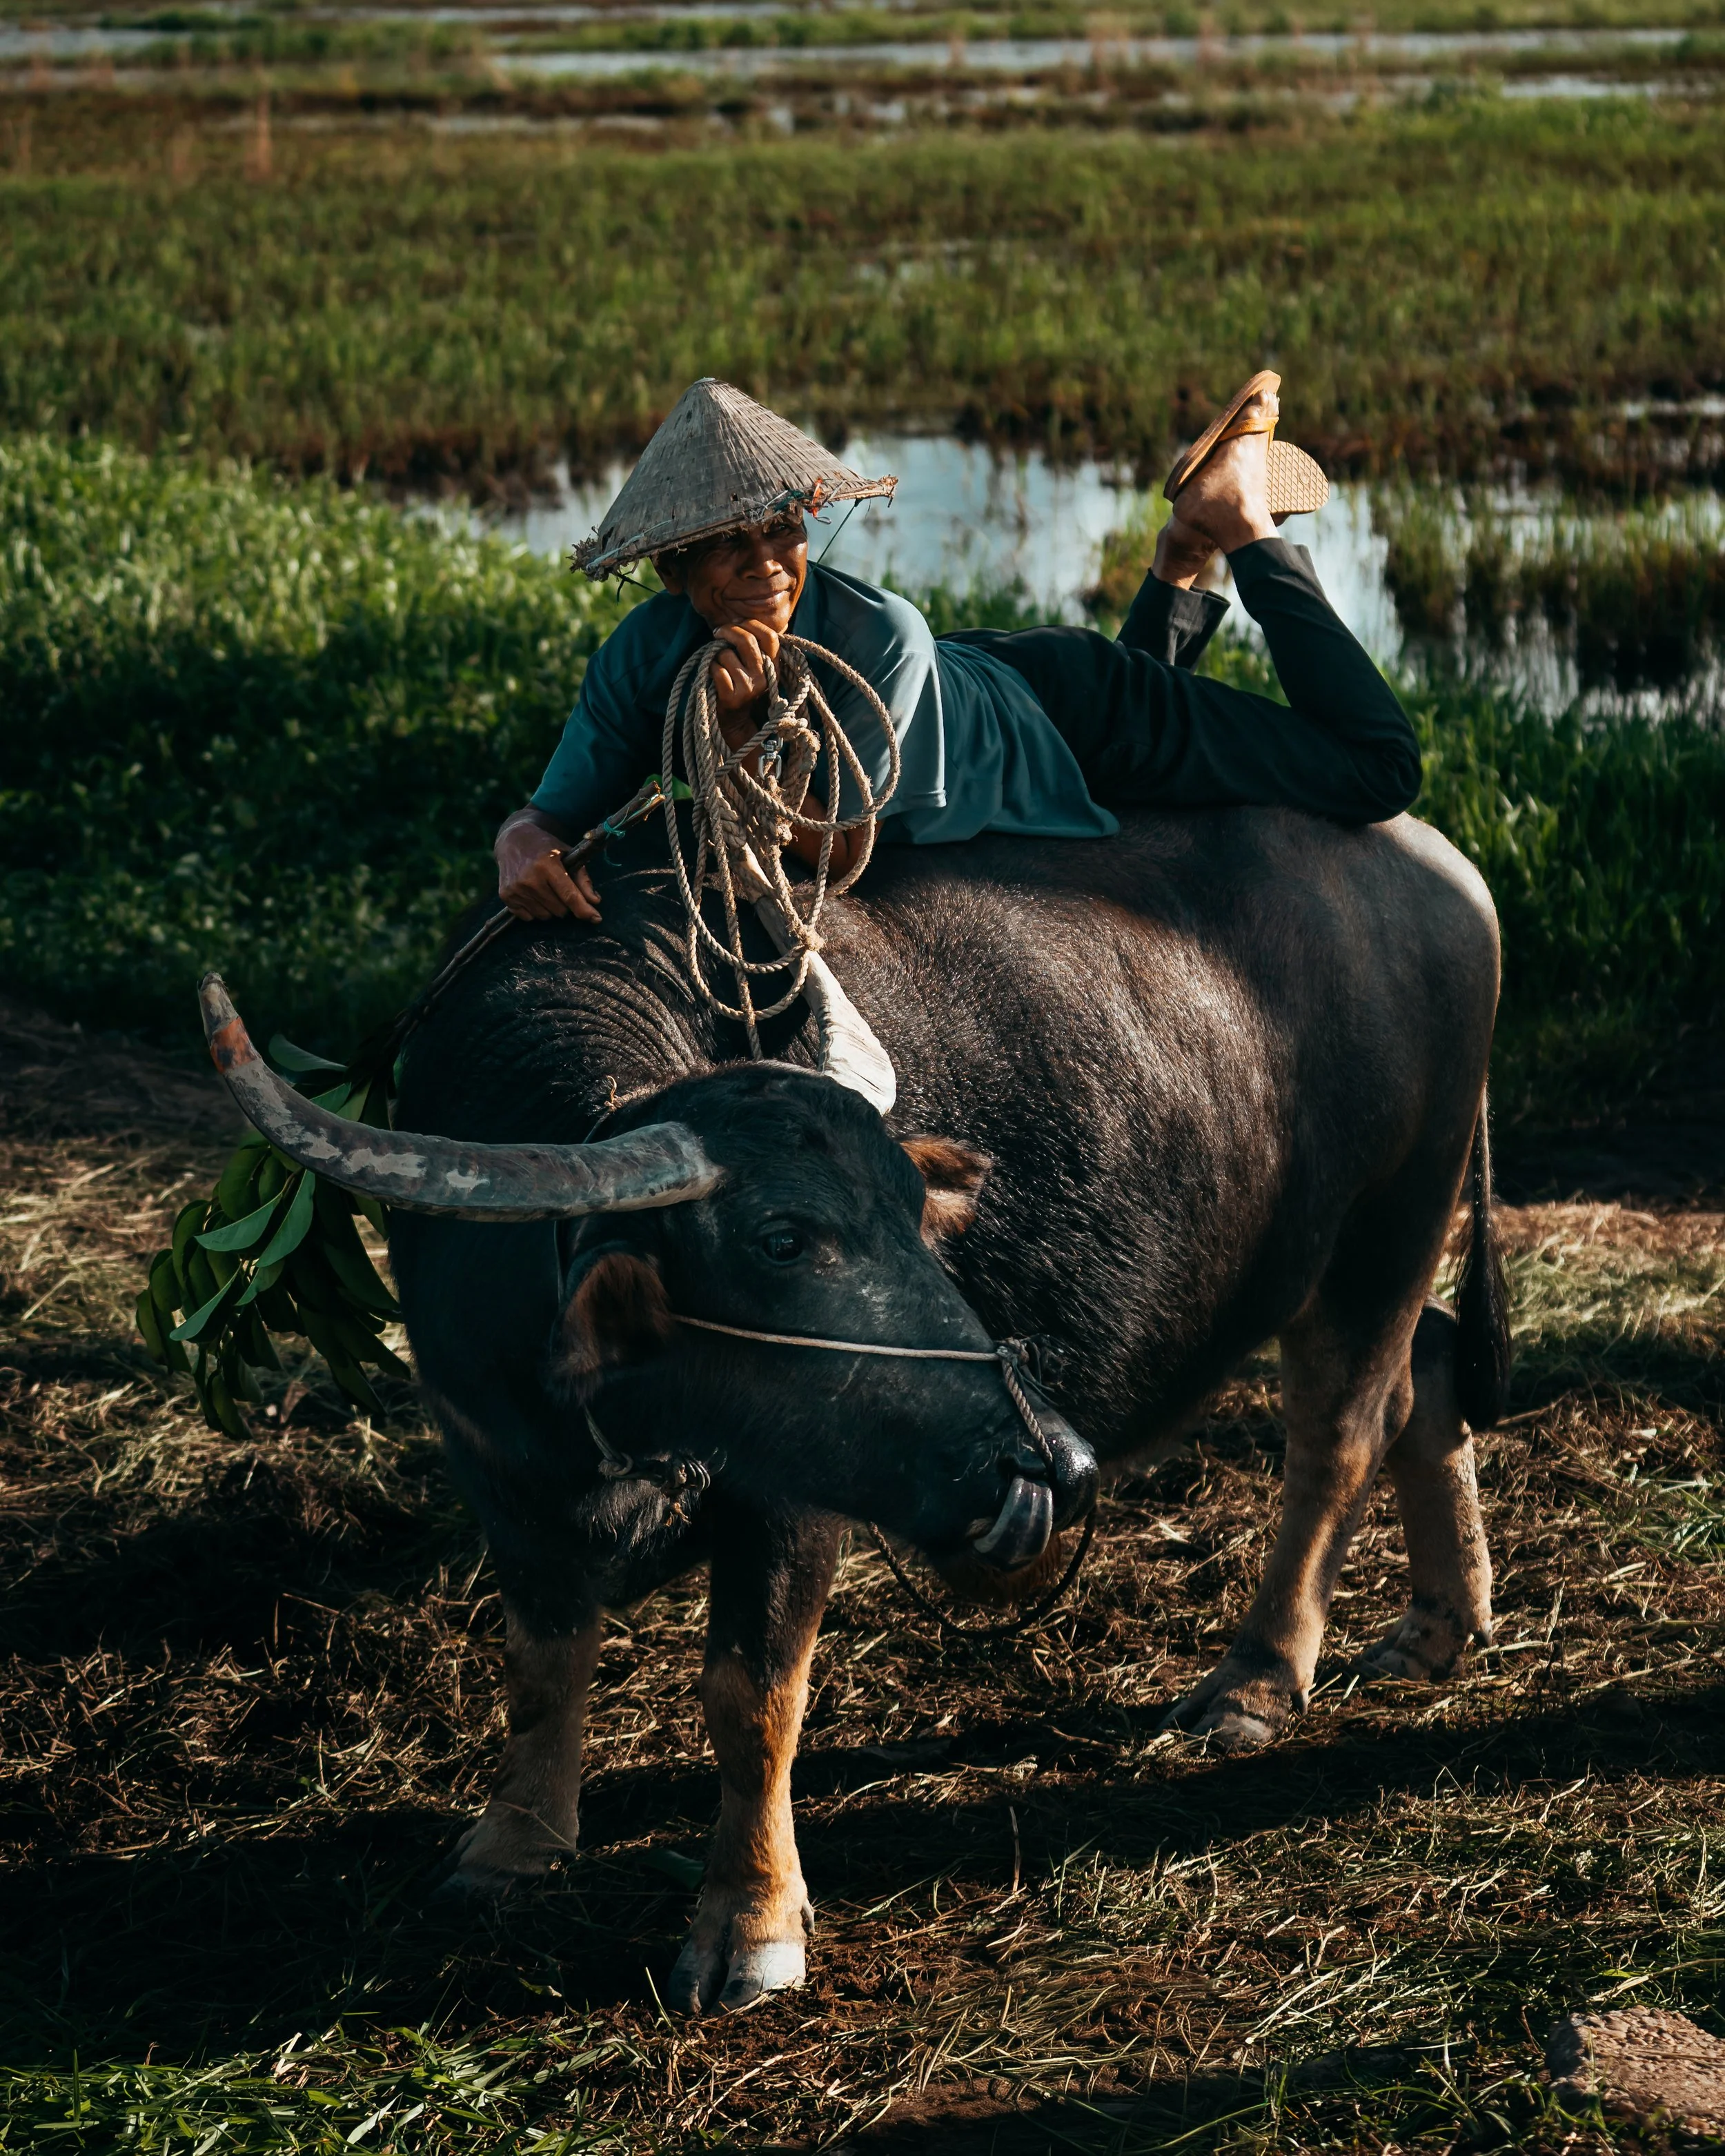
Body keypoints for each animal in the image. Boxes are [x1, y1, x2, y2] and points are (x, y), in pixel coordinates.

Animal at [202, 803, 1510, 2014]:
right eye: (783, 1237)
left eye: (916, 1216)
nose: (1052, 1464)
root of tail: (1440, 866)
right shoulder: (499, 1466)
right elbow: (540, 1653)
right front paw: (514, 1844)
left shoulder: (792, 1498)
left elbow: (752, 1698)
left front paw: (750, 1926)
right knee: (1432, 1372)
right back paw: (1438, 1624)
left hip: (1390, 1221)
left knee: (1340, 1433)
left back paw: (1255, 1679)